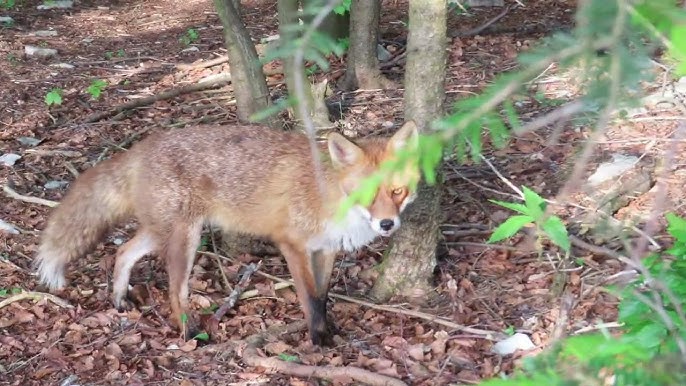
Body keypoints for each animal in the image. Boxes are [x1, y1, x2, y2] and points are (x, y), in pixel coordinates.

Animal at [35, 121, 422, 346]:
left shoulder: (325, 249)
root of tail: (140, 148)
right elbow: (310, 299)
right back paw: (190, 334)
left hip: (161, 231)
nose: (387, 225)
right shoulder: (292, 244)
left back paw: (118, 298)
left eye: (397, 191)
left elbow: (323, 295)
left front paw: (328, 329)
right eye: (367, 195)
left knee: (123, 252)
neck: (329, 195)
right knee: (175, 292)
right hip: (185, 238)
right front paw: (318, 340)